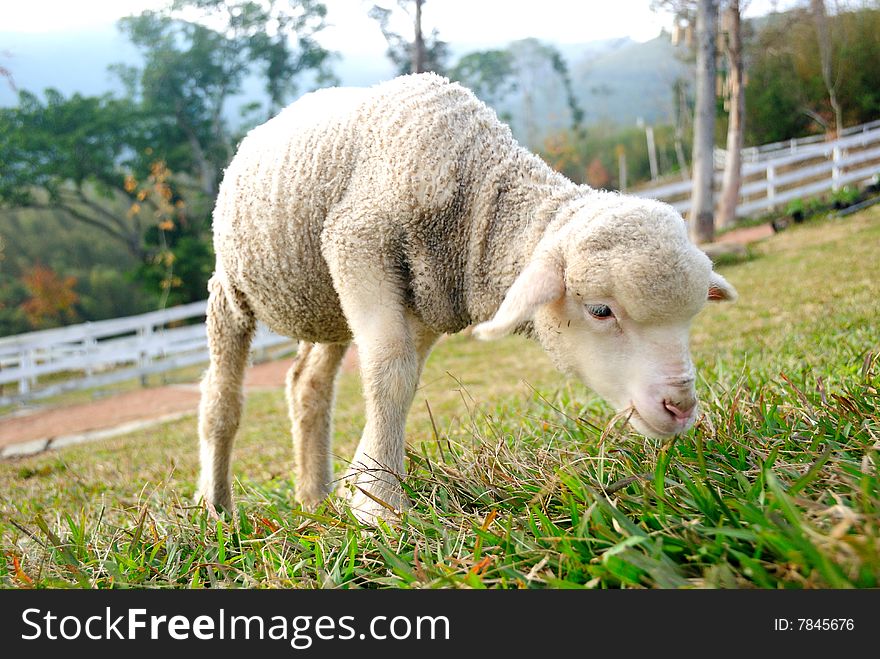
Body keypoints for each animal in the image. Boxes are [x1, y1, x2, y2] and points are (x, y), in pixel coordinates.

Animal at [198, 72, 736, 524]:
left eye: (691, 319)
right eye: (601, 310)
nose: (680, 407)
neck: (477, 197)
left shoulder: (427, 300)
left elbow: (400, 378)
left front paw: (362, 483)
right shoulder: (357, 241)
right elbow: (390, 371)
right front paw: (379, 505)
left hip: (325, 304)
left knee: (307, 385)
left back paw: (313, 497)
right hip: (232, 288)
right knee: (222, 398)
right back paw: (216, 509)